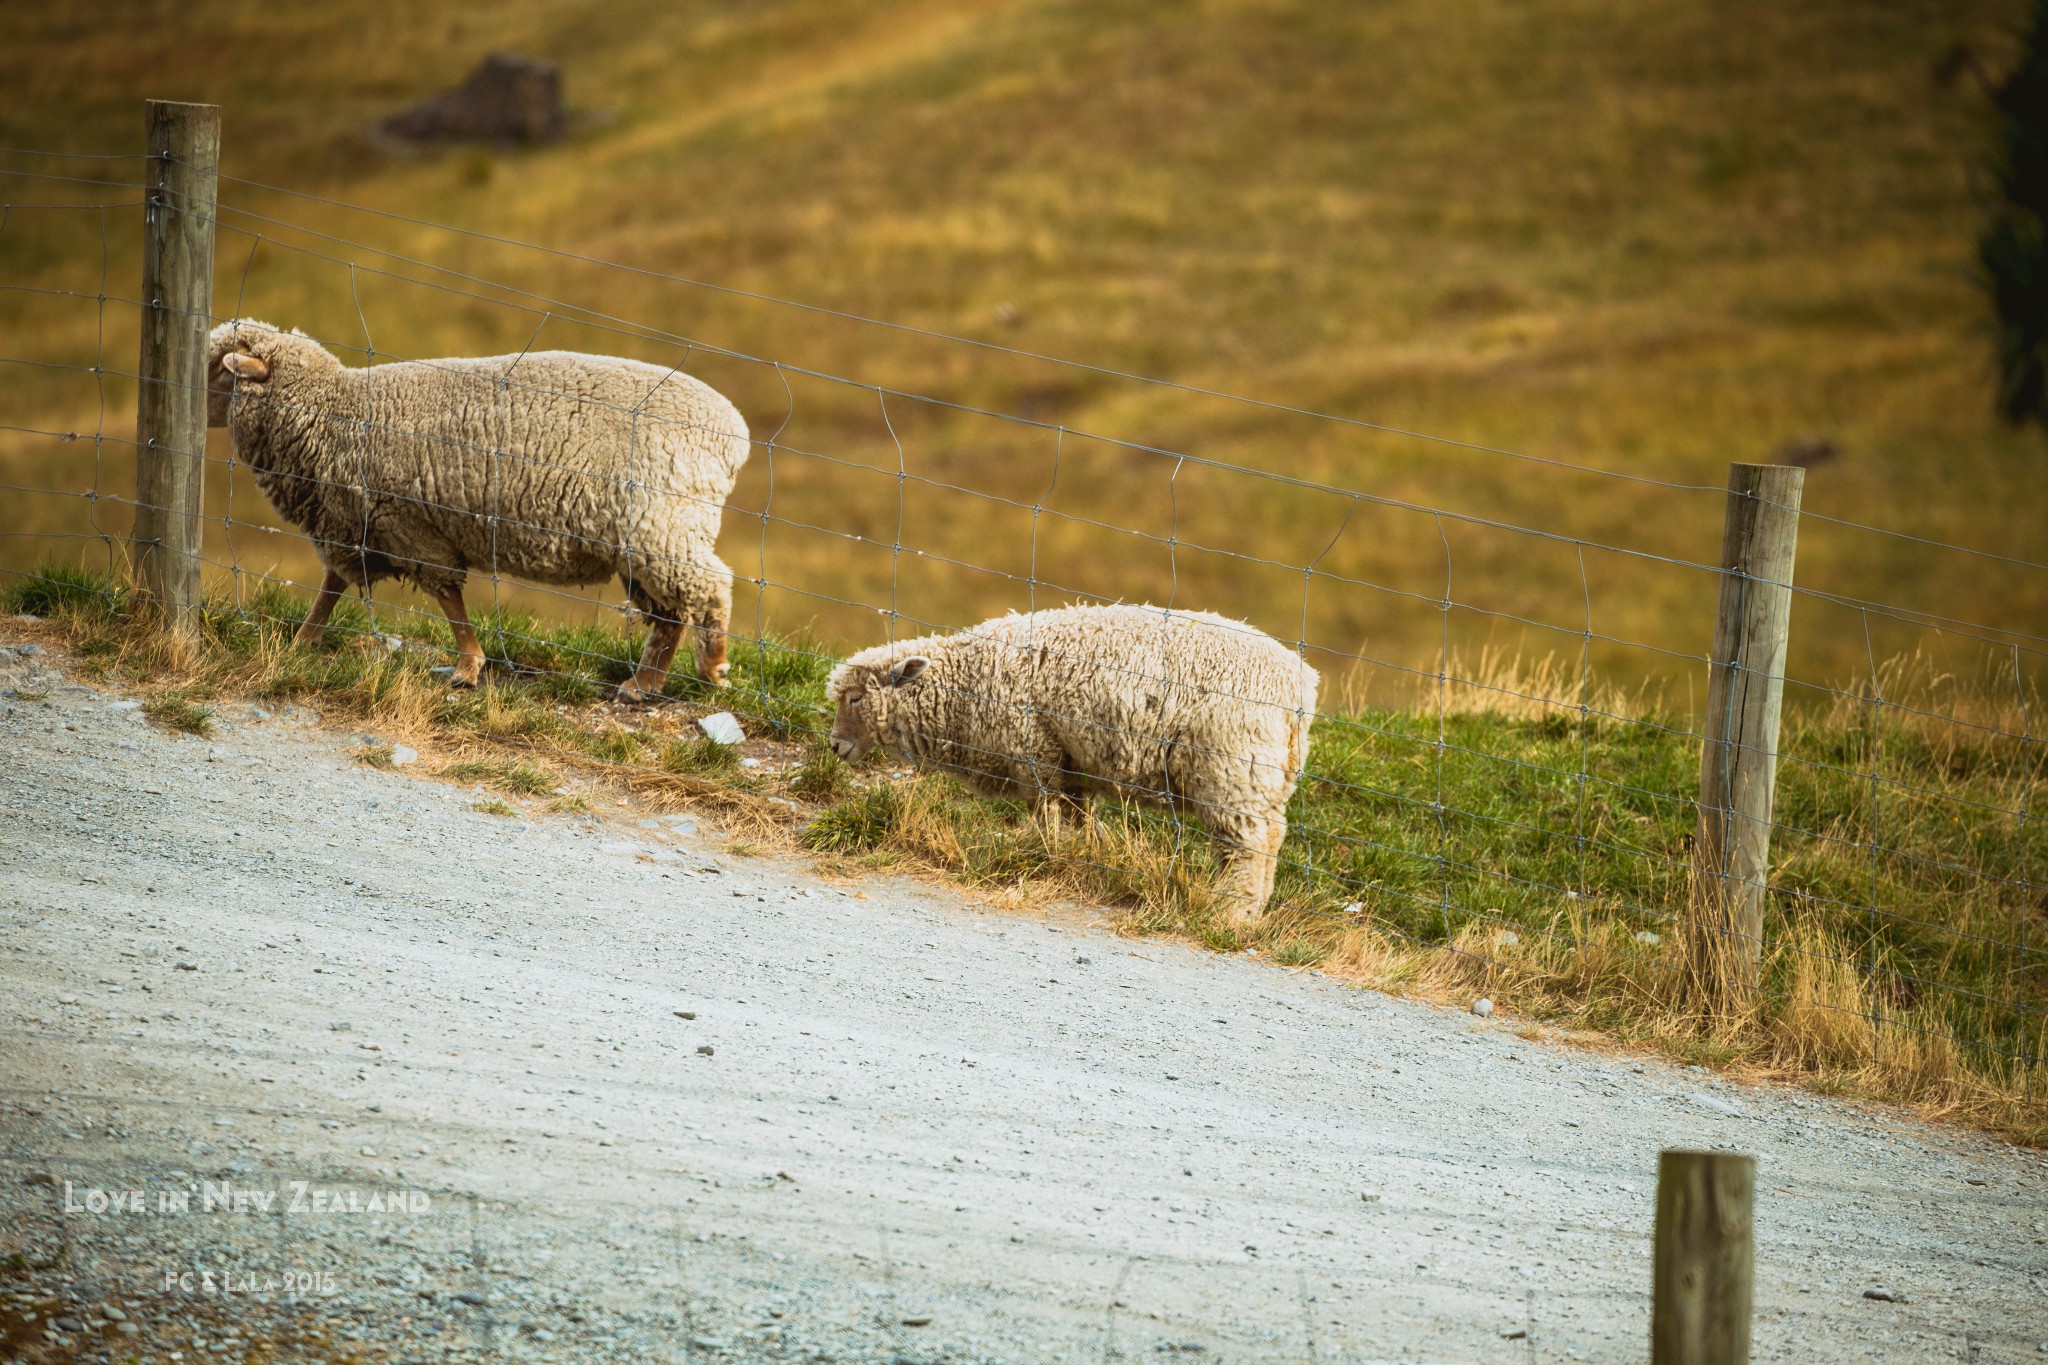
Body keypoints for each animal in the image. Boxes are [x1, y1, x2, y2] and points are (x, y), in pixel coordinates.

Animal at [205, 321, 753, 699]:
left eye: (218, 371)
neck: (334, 410)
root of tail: (734, 432)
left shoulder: (408, 526)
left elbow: (448, 598)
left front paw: (469, 666)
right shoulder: (355, 523)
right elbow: (332, 586)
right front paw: (304, 640)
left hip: (664, 525)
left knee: (709, 588)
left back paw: (712, 667)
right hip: (645, 540)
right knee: (672, 612)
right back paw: (644, 685)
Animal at [823, 601, 1318, 925]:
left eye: (855, 698)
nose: (834, 747)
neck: (966, 686)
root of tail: (1299, 687)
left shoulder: (1034, 751)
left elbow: (1045, 812)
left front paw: (1044, 852)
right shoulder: (1074, 761)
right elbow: (1081, 817)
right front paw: (1084, 853)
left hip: (1231, 768)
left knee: (1248, 845)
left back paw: (1232, 913)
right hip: (1261, 775)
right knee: (1271, 837)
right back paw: (1251, 911)